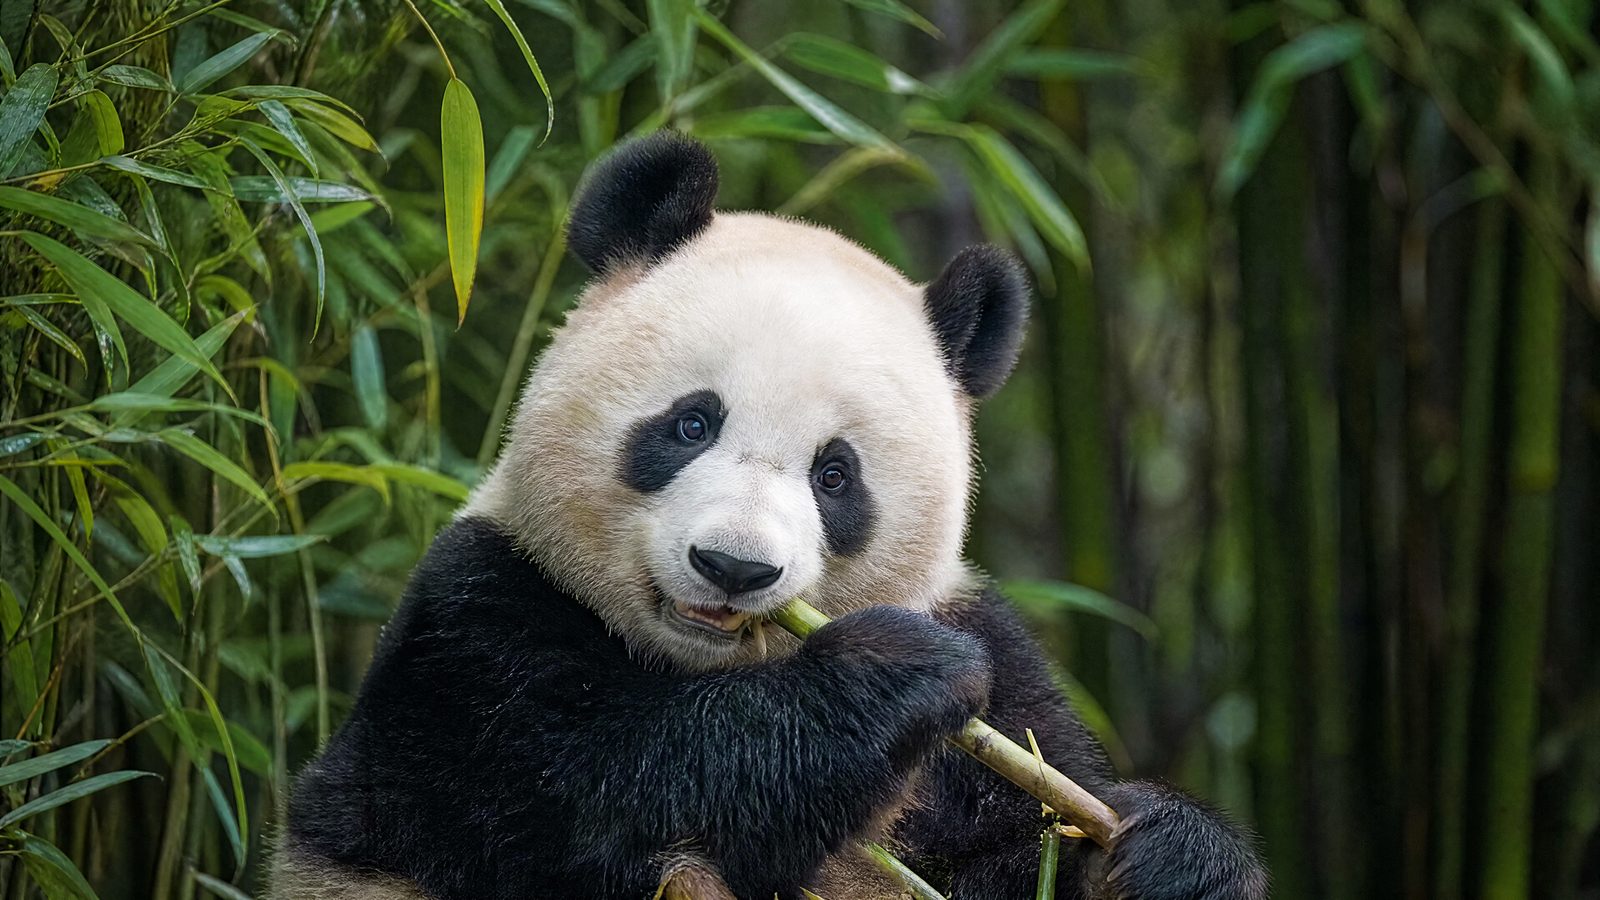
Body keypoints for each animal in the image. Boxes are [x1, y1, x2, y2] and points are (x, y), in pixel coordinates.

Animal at [273, 132, 1268, 900]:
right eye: (692, 423)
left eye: (836, 476)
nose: (734, 567)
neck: (699, 663)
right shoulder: (473, 629)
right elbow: (597, 794)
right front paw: (889, 674)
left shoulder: (989, 690)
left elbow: (1020, 835)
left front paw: (1175, 855)